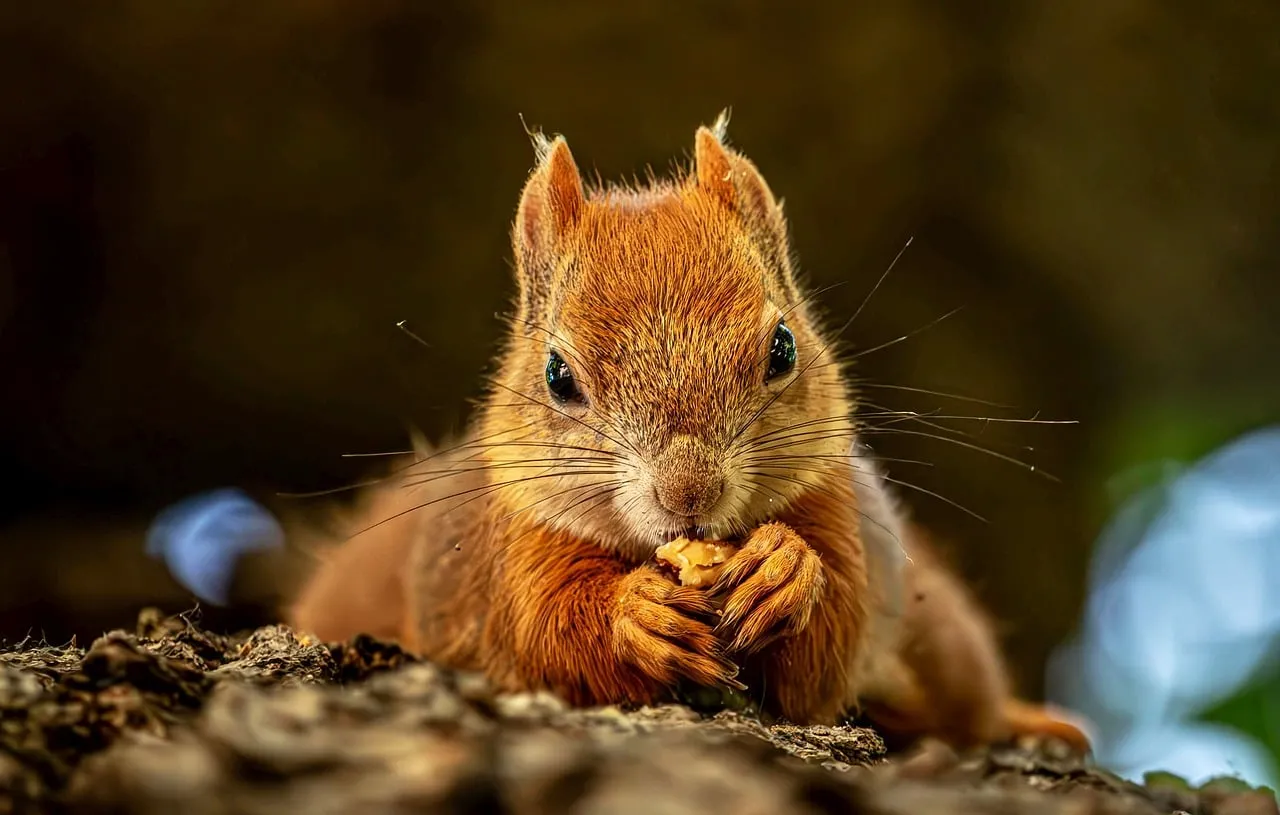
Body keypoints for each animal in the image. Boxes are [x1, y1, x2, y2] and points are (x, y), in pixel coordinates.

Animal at [288, 112, 1089, 752]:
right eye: (557, 375)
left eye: (782, 348)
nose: (689, 493)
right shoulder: (511, 556)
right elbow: (548, 634)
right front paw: (635, 613)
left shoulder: (834, 506)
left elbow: (825, 650)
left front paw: (783, 567)